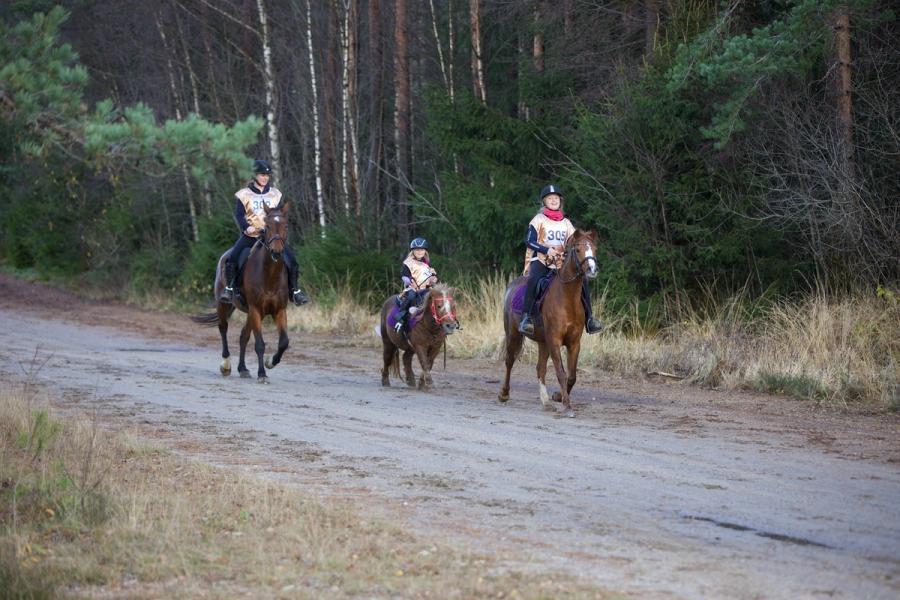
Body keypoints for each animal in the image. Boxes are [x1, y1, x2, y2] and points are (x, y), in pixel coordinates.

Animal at [192, 202, 292, 383]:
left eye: (285, 225)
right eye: (267, 226)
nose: (276, 252)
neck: (270, 275)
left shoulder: (279, 310)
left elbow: (284, 342)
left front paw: (270, 362)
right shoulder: (255, 309)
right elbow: (259, 344)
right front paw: (262, 374)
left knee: (243, 336)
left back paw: (243, 369)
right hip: (223, 304)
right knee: (223, 328)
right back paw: (226, 365)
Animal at [498, 229, 599, 417]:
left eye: (594, 248)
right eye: (578, 249)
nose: (592, 269)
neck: (567, 298)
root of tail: (512, 285)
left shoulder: (574, 343)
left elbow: (572, 376)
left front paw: (558, 396)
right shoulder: (555, 340)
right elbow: (561, 372)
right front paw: (567, 406)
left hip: (542, 342)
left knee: (540, 369)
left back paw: (545, 402)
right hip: (513, 334)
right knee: (509, 361)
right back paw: (504, 394)